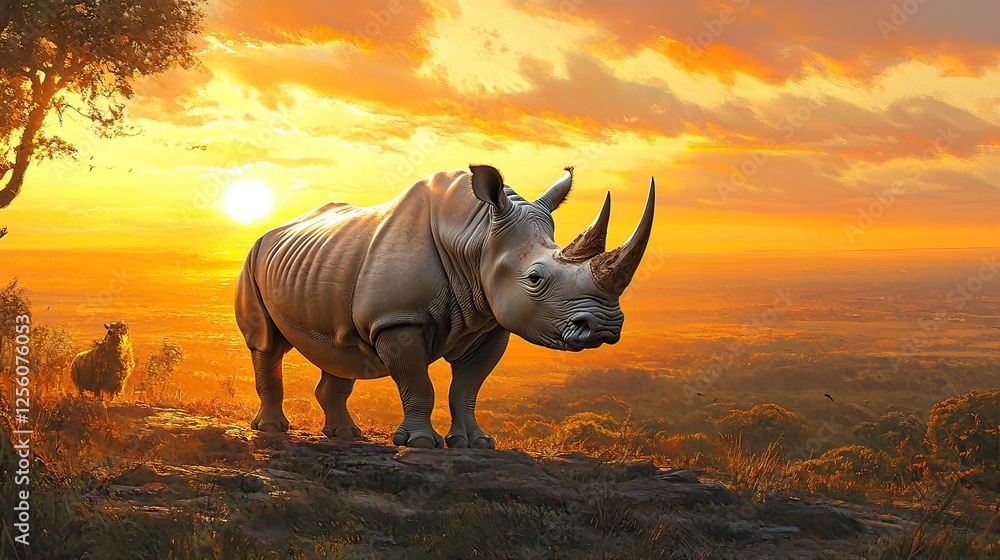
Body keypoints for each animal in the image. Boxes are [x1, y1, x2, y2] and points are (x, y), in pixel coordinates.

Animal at [235, 165, 654, 448]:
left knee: (342, 349)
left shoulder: (491, 323)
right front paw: (420, 443)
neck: (477, 235)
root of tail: (271, 229)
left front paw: (475, 443)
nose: (604, 327)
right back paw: (271, 429)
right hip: (253, 258)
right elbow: (419, 383)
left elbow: (467, 388)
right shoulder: (398, 320)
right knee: (266, 344)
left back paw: (346, 435)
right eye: (535, 278)